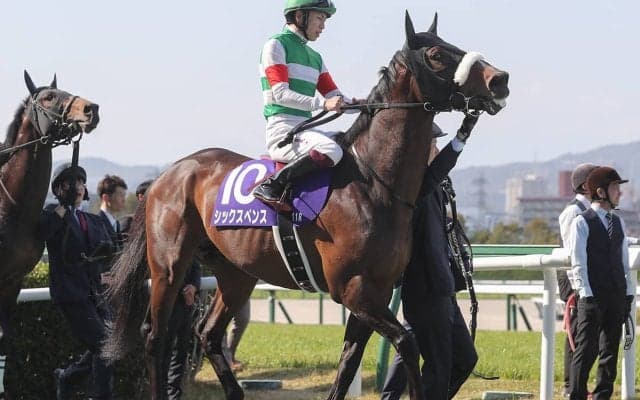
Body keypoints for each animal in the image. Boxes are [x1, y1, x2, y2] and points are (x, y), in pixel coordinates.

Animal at [104, 12, 509, 400]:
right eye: (437, 55)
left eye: (452, 45)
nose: (500, 79)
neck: (375, 184)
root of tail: (169, 173)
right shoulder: (354, 290)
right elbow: (407, 343)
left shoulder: (374, 292)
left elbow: (348, 364)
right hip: (169, 267)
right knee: (155, 335)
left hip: (236, 273)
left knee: (207, 333)